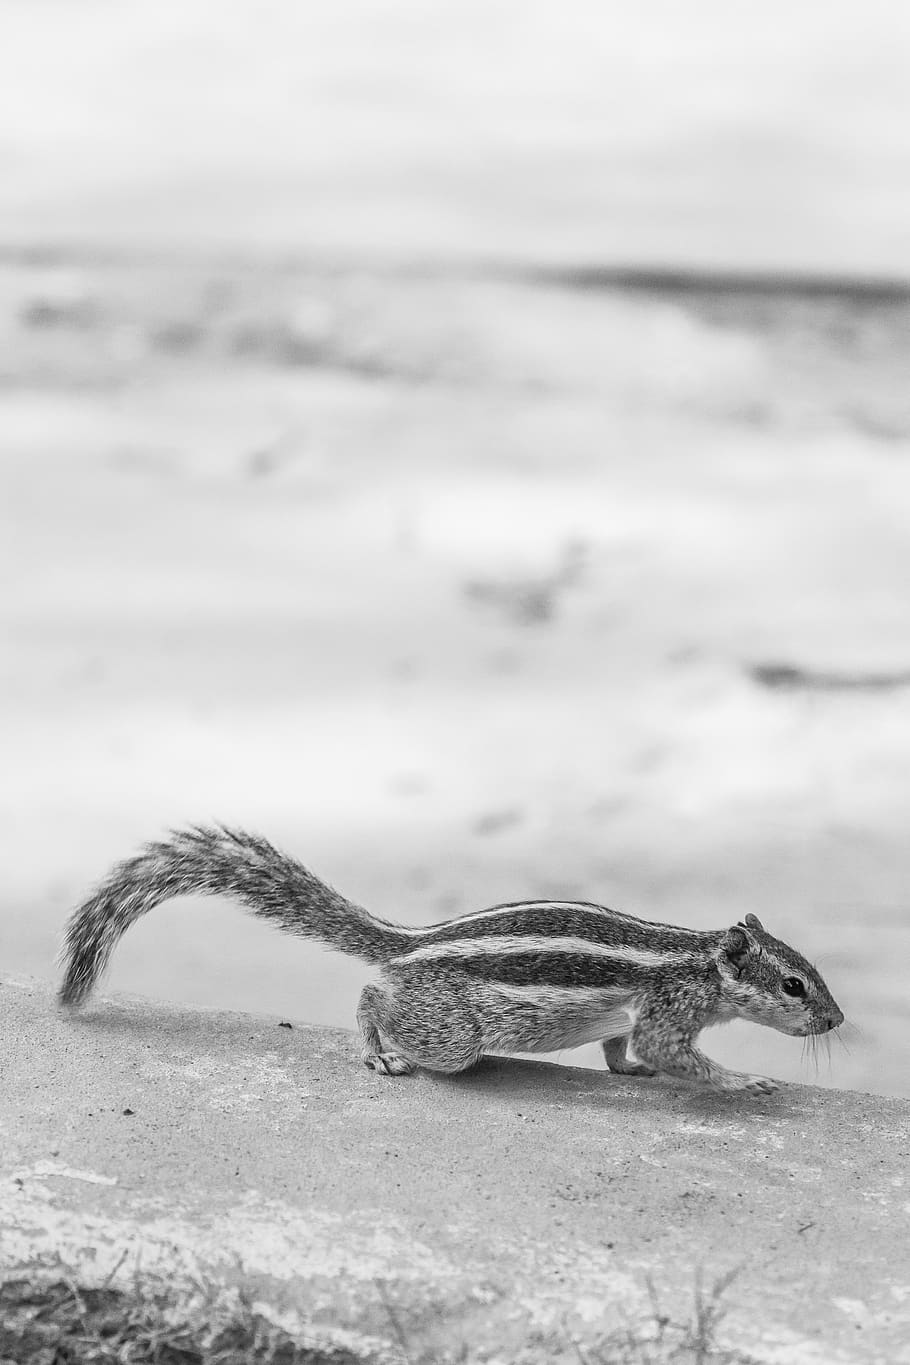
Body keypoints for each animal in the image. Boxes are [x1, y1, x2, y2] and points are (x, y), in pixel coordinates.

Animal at [58, 825, 844, 1096]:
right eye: (794, 985)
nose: (837, 1021)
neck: (697, 958)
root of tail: (412, 942)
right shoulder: (667, 1009)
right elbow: (673, 1052)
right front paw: (744, 1081)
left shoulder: (638, 1016)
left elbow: (622, 1048)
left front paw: (632, 1071)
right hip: (454, 1028)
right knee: (375, 997)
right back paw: (379, 1051)